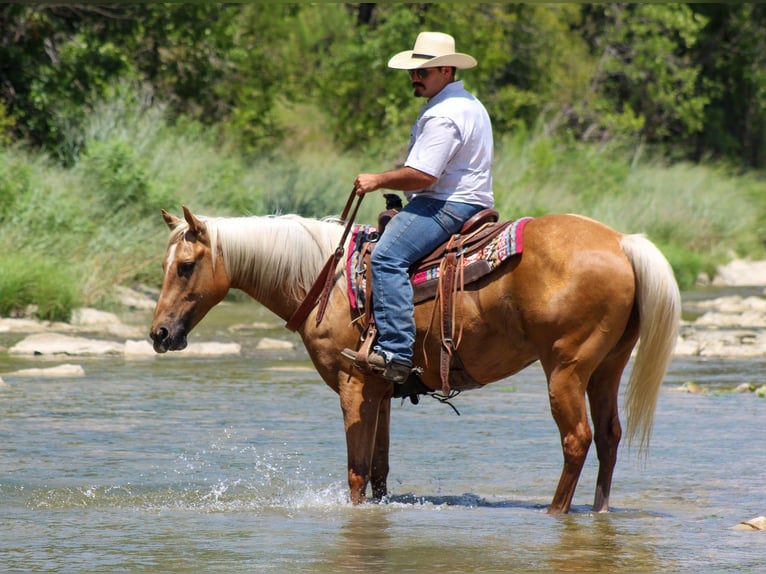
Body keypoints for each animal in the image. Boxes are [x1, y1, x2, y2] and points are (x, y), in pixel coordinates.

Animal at [149, 205, 680, 514]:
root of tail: (621, 243)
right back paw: (599, 512)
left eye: (187, 266)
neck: (325, 281)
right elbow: (379, 471)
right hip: (607, 367)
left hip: (565, 369)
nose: (159, 334)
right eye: (165, 265)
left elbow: (356, 471)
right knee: (609, 437)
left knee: (577, 440)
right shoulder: (381, 389)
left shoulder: (353, 384)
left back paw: (554, 513)